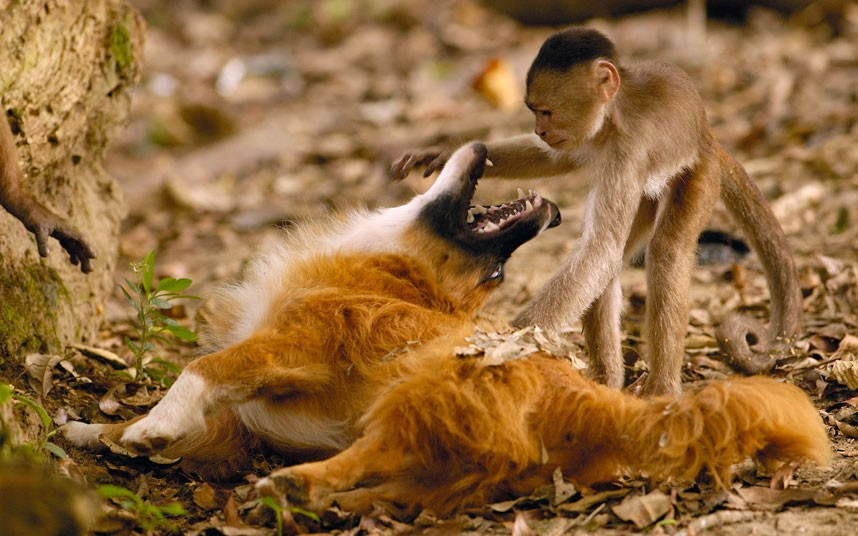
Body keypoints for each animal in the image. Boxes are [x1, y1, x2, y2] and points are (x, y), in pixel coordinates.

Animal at [391, 27, 802, 396]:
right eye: (535, 114)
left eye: (547, 111)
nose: (539, 129)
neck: (612, 118)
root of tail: (709, 137)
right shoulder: (583, 140)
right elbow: (553, 164)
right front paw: (442, 155)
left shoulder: (628, 151)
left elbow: (602, 248)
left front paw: (505, 341)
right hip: (650, 194)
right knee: (611, 261)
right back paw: (608, 379)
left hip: (699, 173)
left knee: (663, 252)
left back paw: (662, 388)